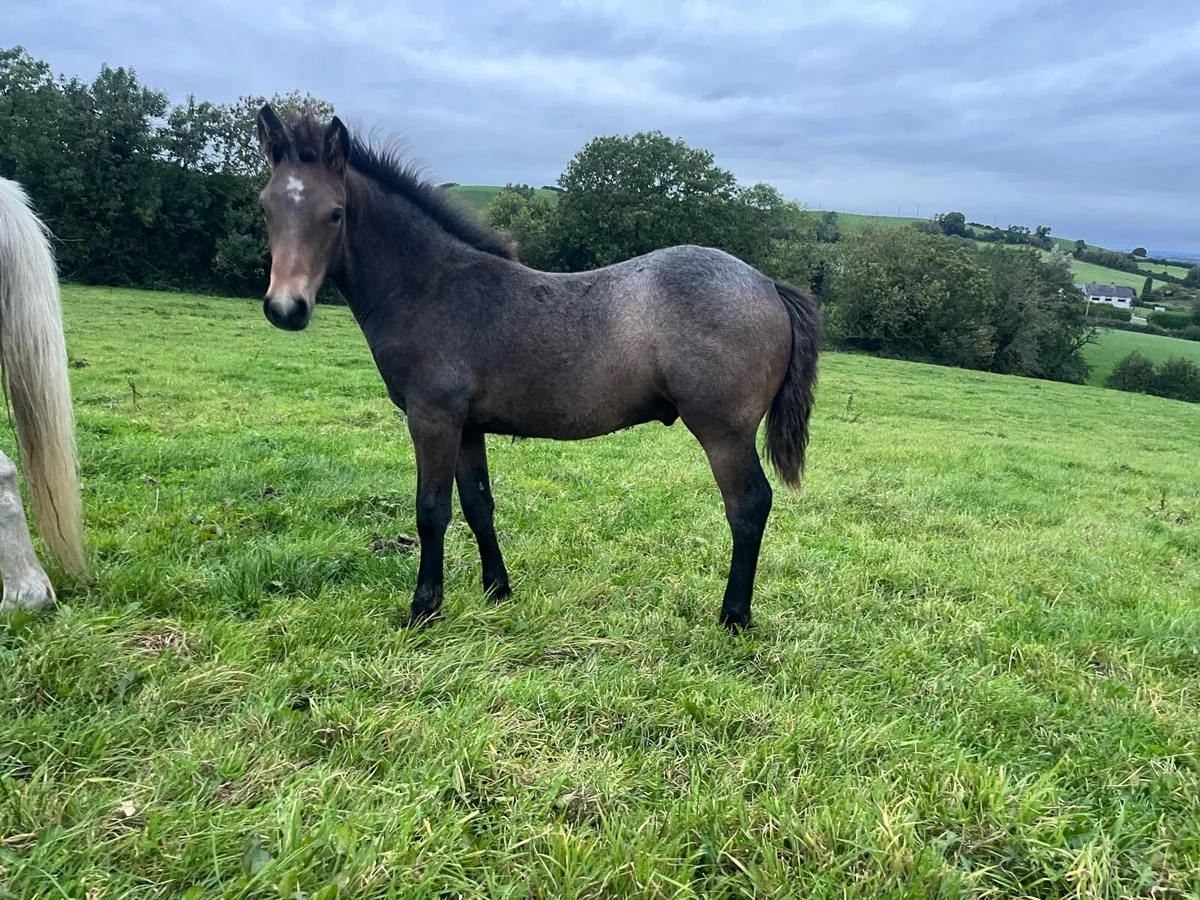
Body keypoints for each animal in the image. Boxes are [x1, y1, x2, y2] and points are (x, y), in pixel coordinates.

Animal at [253, 106, 821, 630]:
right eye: (265, 205)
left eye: (335, 213)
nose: (286, 308)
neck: (428, 286)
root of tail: (768, 284)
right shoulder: (466, 427)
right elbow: (478, 505)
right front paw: (497, 591)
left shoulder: (432, 418)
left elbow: (431, 510)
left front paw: (423, 608)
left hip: (724, 432)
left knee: (748, 506)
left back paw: (734, 616)